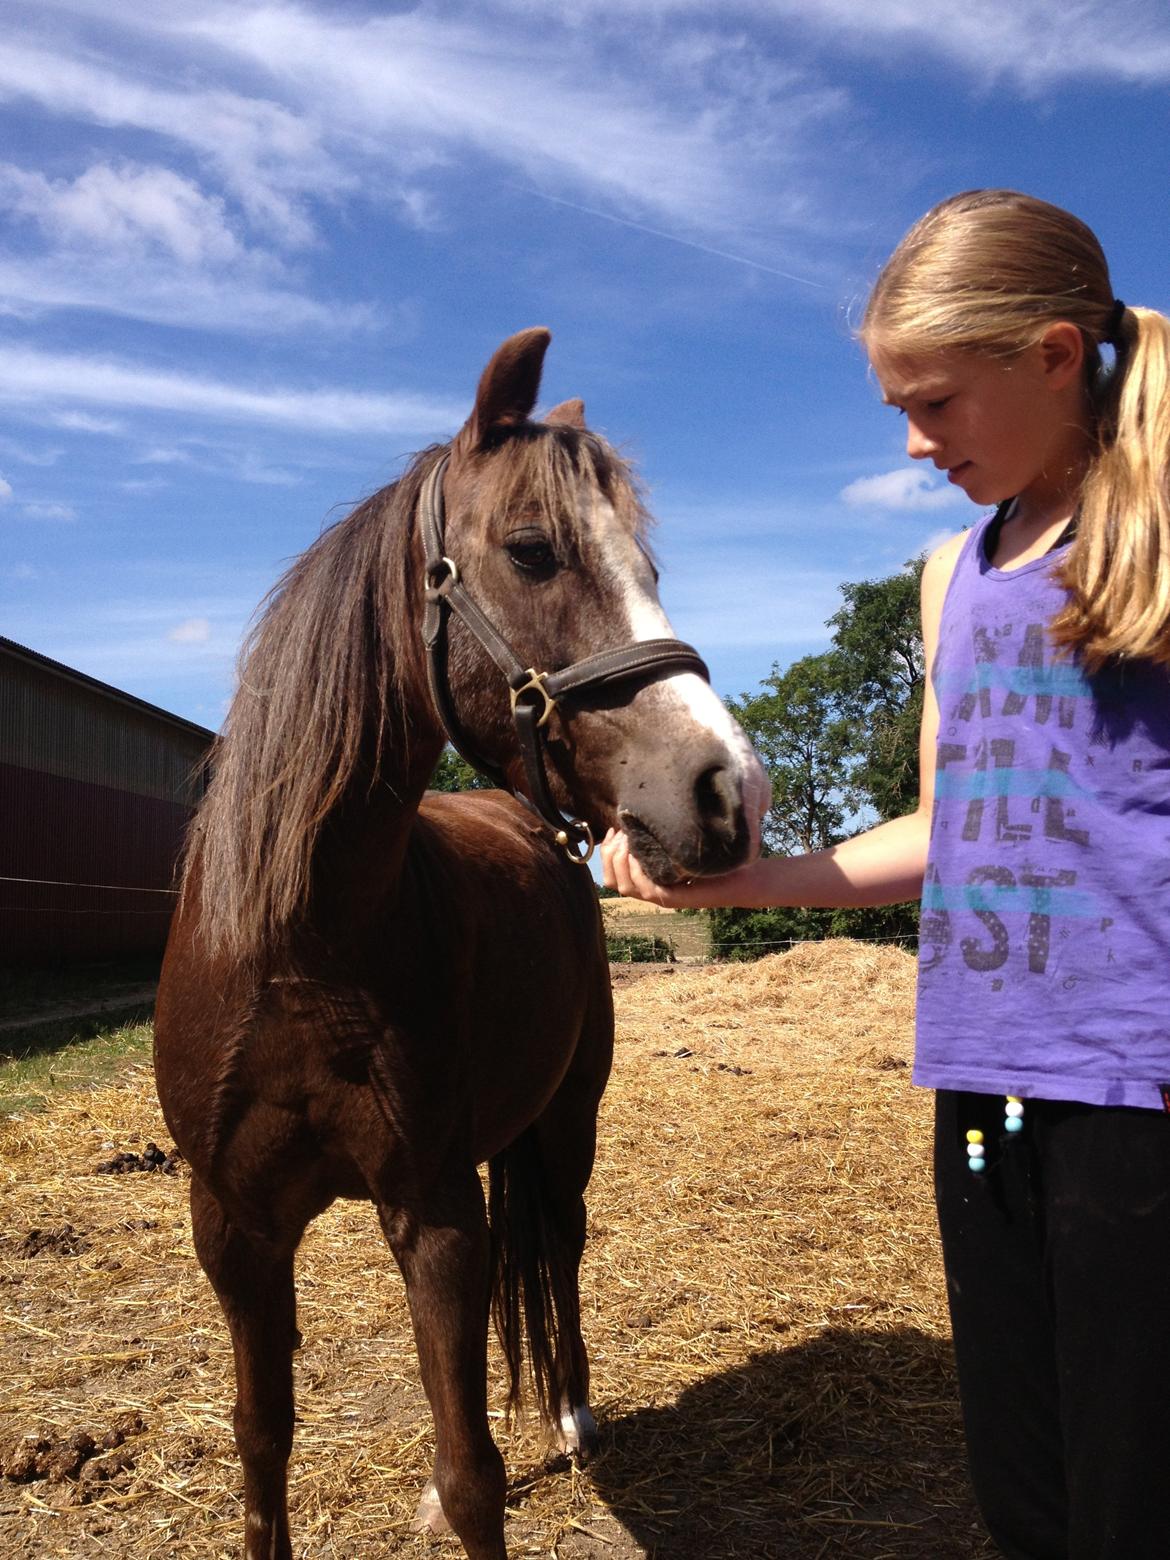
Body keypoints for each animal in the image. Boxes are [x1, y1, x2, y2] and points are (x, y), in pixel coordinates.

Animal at [151, 322, 764, 1553]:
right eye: (531, 552)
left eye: (652, 572)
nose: (726, 791)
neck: (301, 950)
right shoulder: (233, 1227)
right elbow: (261, 1439)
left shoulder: (430, 1209)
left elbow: (475, 1466)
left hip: (567, 1119)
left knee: (562, 1243)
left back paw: (573, 1413)